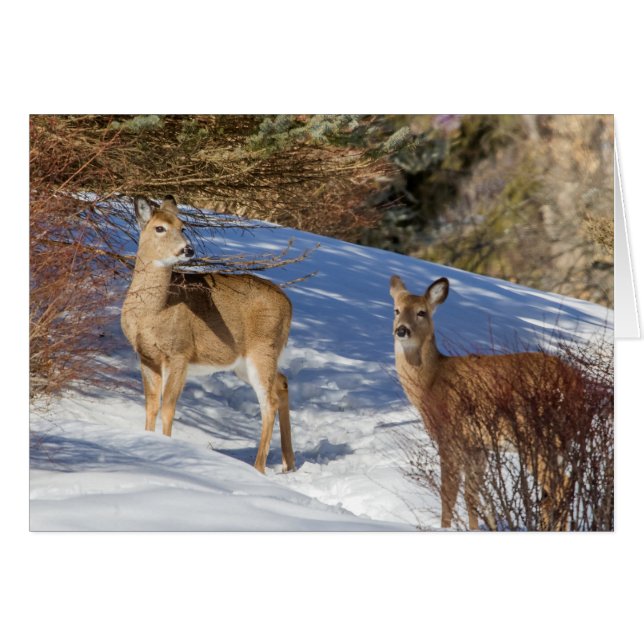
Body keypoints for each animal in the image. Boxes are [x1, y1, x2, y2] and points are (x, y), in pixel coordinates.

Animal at [121, 195, 295, 474]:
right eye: (160, 228)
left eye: (182, 226)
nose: (188, 250)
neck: (154, 311)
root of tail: (288, 303)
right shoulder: (147, 356)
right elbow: (151, 405)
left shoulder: (180, 353)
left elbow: (168, 407)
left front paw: (168, 447)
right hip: (245, 362)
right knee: (282, 383)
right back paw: (289, 463)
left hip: (262, 349)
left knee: (269, 402)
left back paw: (258, 468)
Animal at [389, 275, 582, 530]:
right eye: (396, 309)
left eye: (422, 312)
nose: (401, 330)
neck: (430, 385)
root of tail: (575, 383)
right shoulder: (478, 446)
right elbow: (472, 495)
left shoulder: (449, 436)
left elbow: (448, 494)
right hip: (559, 442)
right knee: (554, 492)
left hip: (537, 436)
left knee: (562, 486)